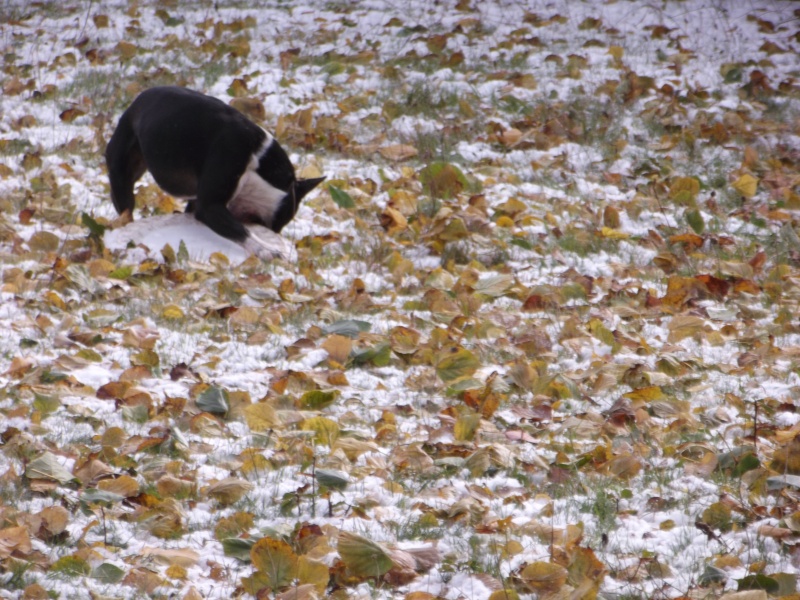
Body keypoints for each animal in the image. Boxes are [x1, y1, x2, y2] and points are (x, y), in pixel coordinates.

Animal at [106, 85, 324, 258]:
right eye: (281, 221)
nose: (275, 232)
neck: (259, 164)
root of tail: (135, 102)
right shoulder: (210, 204)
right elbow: (240, 229)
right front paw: (266, 250)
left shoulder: (198, 204)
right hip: (122, 173)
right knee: (126, 209)